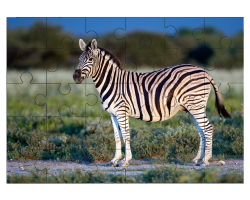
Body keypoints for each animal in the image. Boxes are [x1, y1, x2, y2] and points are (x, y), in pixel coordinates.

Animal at [72, 39, 230, 167]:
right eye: (79, 58)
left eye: (90, 59)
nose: (75, 76)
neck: (112, 82)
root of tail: (203, 71)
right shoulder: (113, 114)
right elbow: (117, 136)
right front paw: (115, 160)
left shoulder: (122, 110)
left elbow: (126, 134)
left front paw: (125, 161)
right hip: (193, 107)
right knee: (201, 131)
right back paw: (197, 159)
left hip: (196, 105)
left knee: (208, 129)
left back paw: (205, 161)